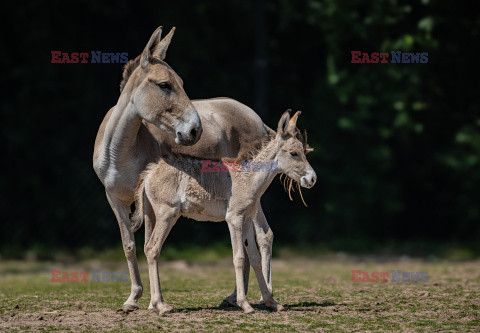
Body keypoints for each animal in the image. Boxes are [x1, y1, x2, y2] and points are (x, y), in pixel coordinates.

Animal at [133, 110, 316, 312]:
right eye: (294, 153)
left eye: (304, 151)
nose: (312, 179)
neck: (248, 178)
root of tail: (149, 173)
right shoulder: (234, 219)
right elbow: (239, 258)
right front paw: (245, 304)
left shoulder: (247, 219)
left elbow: (254, 258)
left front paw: (271, 302)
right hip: (167, 215)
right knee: (152, 248)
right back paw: (161, 305)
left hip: (152, 216)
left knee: (148, 248)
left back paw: (153, 305)